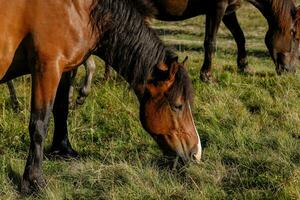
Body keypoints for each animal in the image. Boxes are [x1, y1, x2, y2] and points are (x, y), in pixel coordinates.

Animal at [0, 0, 202, 194]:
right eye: (178, 105)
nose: (196, 154)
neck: (77, 9)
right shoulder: (47, 68)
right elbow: (39, 126)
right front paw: (33, 182)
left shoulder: (63, 69)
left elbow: (61, 109)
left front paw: (63, 149)